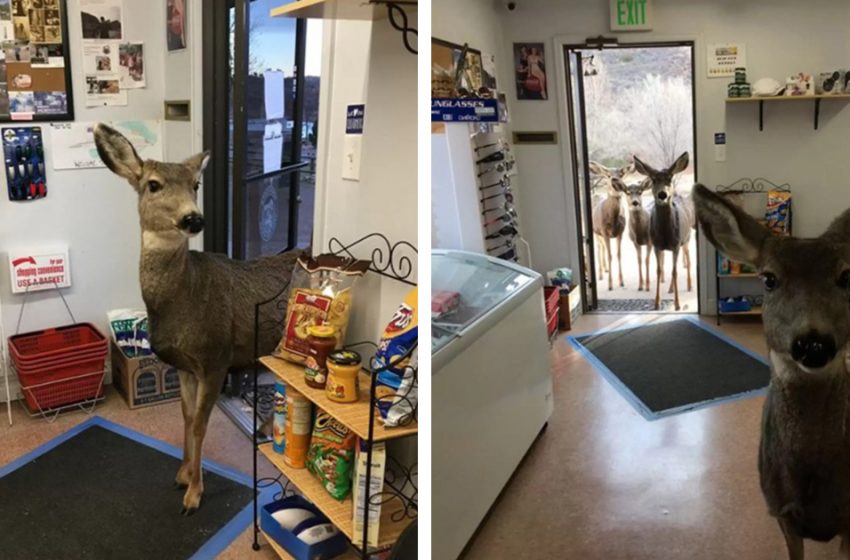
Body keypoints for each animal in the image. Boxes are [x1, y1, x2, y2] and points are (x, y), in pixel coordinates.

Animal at [94, 123, 302, 516]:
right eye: (153, 184)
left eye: (196, 184)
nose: (193, 218)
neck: (184, 299)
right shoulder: (185, 366)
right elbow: (187, 418)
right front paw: (182, 475)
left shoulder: (215, 359)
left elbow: (201, 426)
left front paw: (193, 495)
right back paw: (266, 429)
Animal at [588, 162, 628, 290]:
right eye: (609, 175)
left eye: (621, 174)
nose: (615, 180)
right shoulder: (604, 232)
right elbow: (610, 255)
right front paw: (610, 285)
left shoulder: (621, 232)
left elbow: (618, 255)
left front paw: (621, 282)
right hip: (595, 231)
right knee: (598, 247)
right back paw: (600, 274)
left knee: (602, 247)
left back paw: (605, 269)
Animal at [632, 151, 692, 310]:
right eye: (653, 180)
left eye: (670, 179)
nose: (662, 194)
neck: (666, 234)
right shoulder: (656, 245)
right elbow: (658, 270)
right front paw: (657, 302)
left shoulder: (676, 244)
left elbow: (675, 271)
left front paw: (677, 304)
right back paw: (670, 289)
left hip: (686, 239)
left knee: (687, 260)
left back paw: (688, 286)